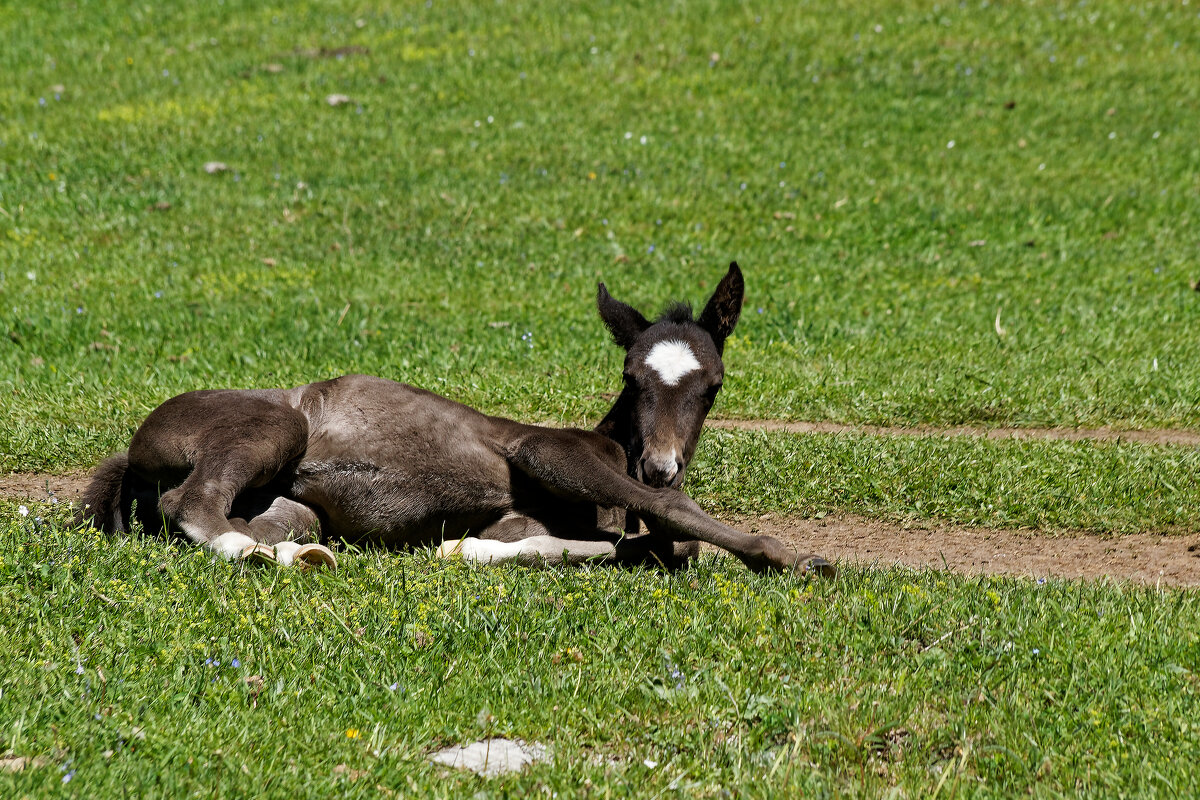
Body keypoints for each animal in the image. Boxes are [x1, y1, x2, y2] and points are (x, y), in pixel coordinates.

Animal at [79, 266, 835, 578]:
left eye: (713, 386)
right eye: (631, 378)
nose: (661, 463)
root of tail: (134, 446)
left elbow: (646, 541)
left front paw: (466, 550)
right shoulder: (546, 451)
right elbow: (675, 521)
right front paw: (793, 558)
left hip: (292, 505)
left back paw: (298, 553)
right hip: (271, 431)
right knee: (191, 503)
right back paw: (269, 558)